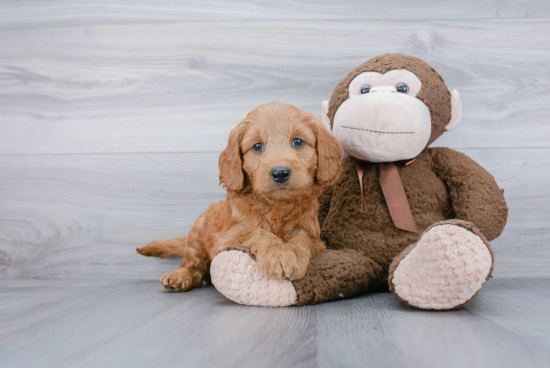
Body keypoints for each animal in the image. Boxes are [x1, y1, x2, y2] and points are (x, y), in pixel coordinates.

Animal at [137, 102, 342, 292]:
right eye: (257, 146)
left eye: (298, 142)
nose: (280, 173)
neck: (276, 206)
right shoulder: (226, 239)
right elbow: (258, 233)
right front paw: (277, 254)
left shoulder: (313, 237)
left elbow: (301, 240)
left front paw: (290, 256)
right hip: (198, 233)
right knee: (193, 265)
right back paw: (180, 276)